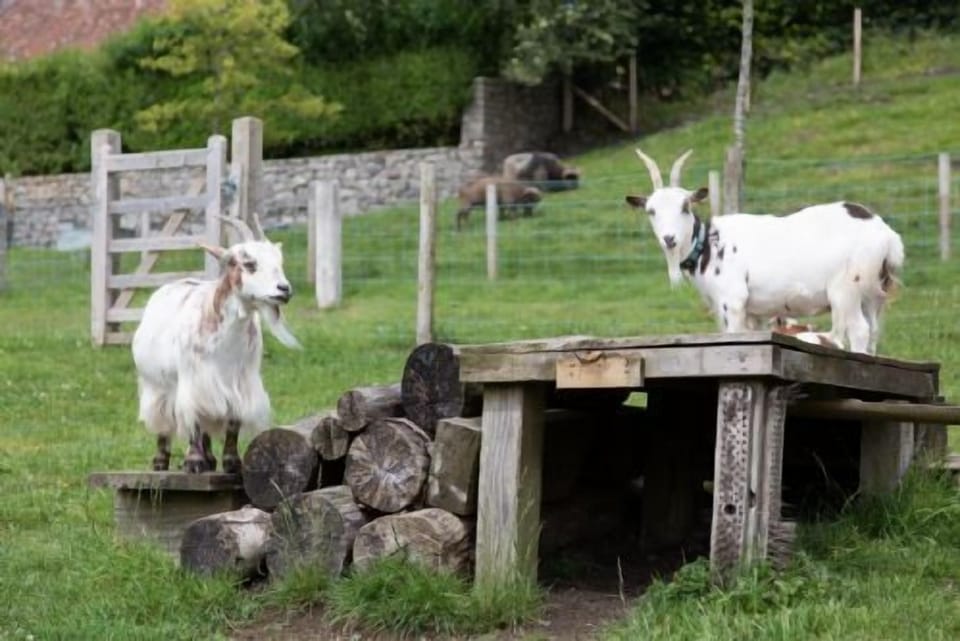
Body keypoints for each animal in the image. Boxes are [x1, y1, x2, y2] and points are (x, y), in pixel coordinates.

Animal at [131, 215, 301, 474]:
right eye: (249, 264)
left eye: (279, 262)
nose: (284, 289)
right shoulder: (192, 382)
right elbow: (192, 422)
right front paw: (193, 463)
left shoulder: (239, 384)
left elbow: (232, 422)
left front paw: (232, 463)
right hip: (156, 385)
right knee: (163, 423)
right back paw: (161, 461)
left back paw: (210, 460)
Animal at [624, 149, 904, 354]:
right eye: (651, 211)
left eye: (685, 206)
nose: (669, 239)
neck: (708, 245)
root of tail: (886, 234)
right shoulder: (754, 313)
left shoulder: (732, 302)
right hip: (872, 295)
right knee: (874, 332)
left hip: (846, 290)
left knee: (859, 331)